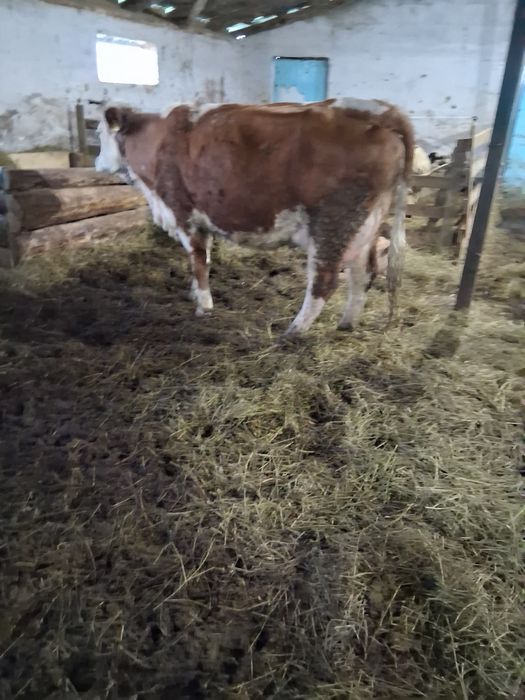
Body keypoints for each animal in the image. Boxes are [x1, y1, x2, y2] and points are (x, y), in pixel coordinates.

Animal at [95, 98, 414, 336]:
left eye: (99, 134)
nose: (96, 163)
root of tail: (377, 109)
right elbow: (200, 261)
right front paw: (195, 295)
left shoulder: (183, 213)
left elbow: (198, 261)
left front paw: (204, 307)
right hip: (365, 224)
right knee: (362, 273)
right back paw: (347, 323)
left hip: (333, 223)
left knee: (324, 281)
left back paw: (293, 332)